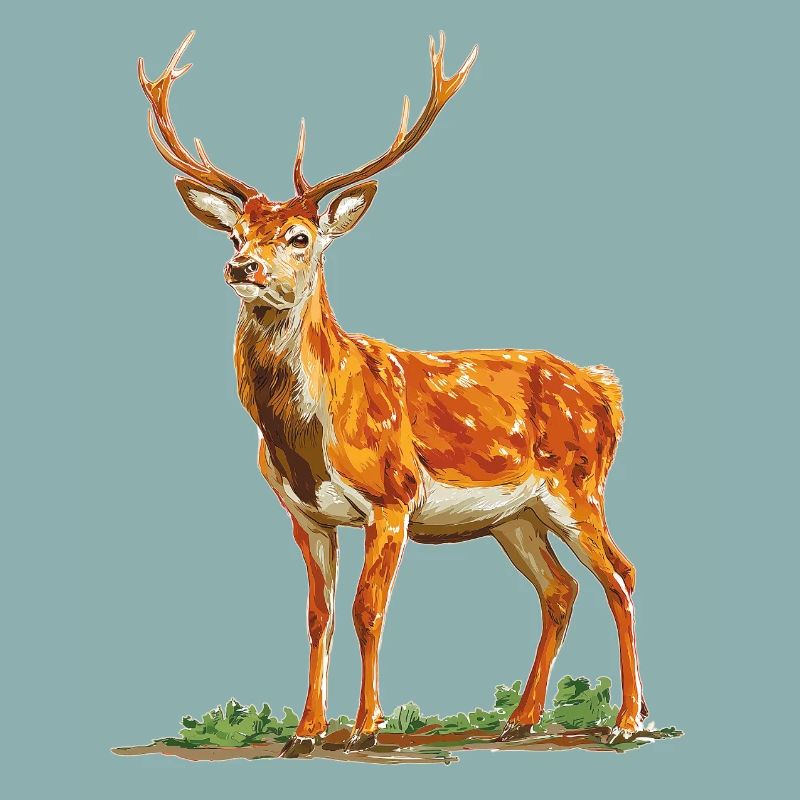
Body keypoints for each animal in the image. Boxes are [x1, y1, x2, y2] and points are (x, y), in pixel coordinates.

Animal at [139, 31, 646, 757]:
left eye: (300, 237)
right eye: (236, 233)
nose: (241, 266)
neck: (304, 436)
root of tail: (607, 388)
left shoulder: (392, 496)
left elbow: (367, 610)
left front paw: (362, 728)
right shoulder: (305, 515)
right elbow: (318, 616)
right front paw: (305, 732)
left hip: (578, 486)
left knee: (621, 575)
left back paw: (628, 719)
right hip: (515, 516)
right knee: (561, 589)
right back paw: (520, 720)